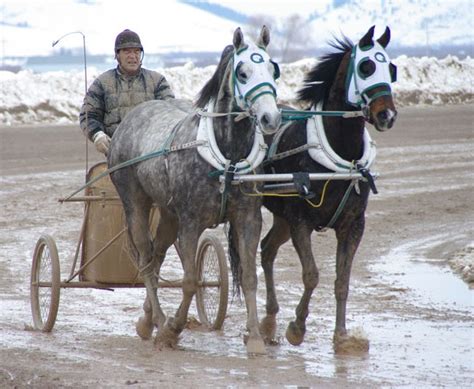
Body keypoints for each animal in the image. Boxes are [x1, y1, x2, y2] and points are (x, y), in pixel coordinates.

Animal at [108, 25, 282, 354]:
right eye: (242, 72)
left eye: (272, 69)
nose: (271, 118)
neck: (227, 157)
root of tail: (133, 116)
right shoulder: (190, 223)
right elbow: (189, 280)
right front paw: (172, 330)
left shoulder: (248, 219)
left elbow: (249, 277)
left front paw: (254, 337)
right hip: (134, 203)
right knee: (146, 261)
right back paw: (158, 321)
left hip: (168, 214)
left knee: (156, 256)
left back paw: (147, 319)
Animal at [260, 26, 396, 352]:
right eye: (366, 66)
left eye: (392, 68)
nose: (387, 115)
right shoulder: (301, 221)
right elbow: (311, 275)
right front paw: (297, 327)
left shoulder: (353, 225)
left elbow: (342, 281)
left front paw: (342, 335)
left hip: (281, 217)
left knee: (267, 250)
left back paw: (269, 320)